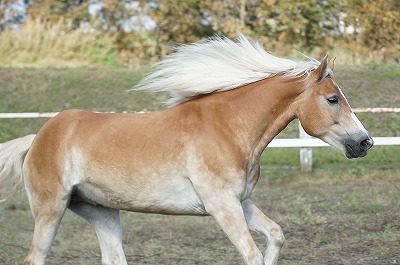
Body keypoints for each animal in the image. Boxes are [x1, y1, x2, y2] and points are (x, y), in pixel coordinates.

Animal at [1, 33, 374, 264]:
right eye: (332, 98)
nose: (365, 142)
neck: (228, 128)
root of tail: (38, 137)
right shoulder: (221, 205)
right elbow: (251, 254)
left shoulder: (241, 201)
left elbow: (276, 235)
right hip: (51, 208)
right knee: (36, 257)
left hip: (101, 211)